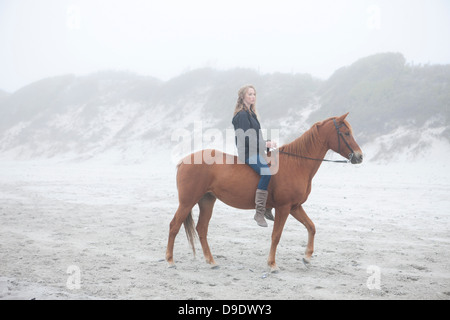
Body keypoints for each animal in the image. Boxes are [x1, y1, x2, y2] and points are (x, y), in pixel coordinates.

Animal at [165, 114, 362, 272]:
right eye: (346, 133)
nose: (359, 156)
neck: (296, 163)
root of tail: (184, 161)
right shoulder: (284, 208)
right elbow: (276, 235)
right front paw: (272, 264)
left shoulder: (295, 207)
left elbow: (311, 227)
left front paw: (307, 257)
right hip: (187, 202)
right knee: (174, 225)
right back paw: (170, 260)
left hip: (207, 201)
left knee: (201, 229)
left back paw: (211, 261)